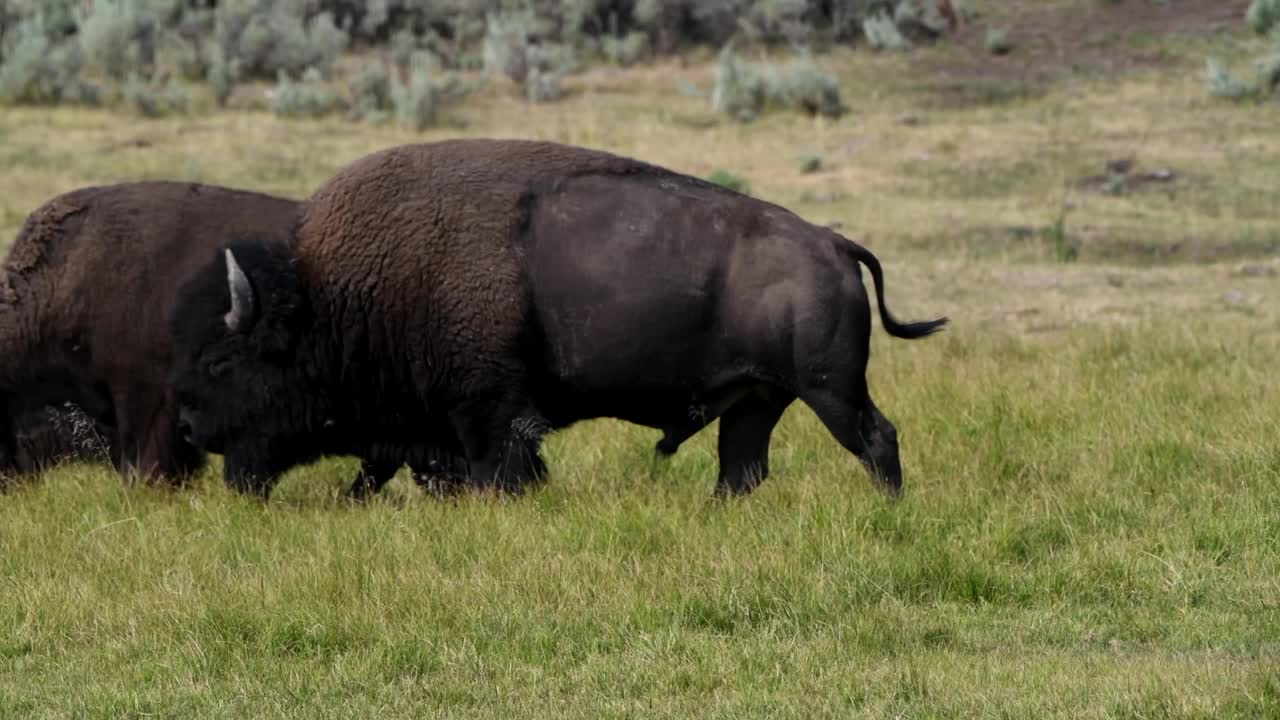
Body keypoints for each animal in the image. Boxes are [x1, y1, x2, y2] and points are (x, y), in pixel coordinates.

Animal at [170, 139, 947, 499]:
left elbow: (497, 468)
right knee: (742, 469)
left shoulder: (490, 416)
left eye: (222, 360)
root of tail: (833, 241)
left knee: (876, 438)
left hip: (828, 390)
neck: (336, 297)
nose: (188, 427)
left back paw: (889, 508)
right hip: (758, 400)